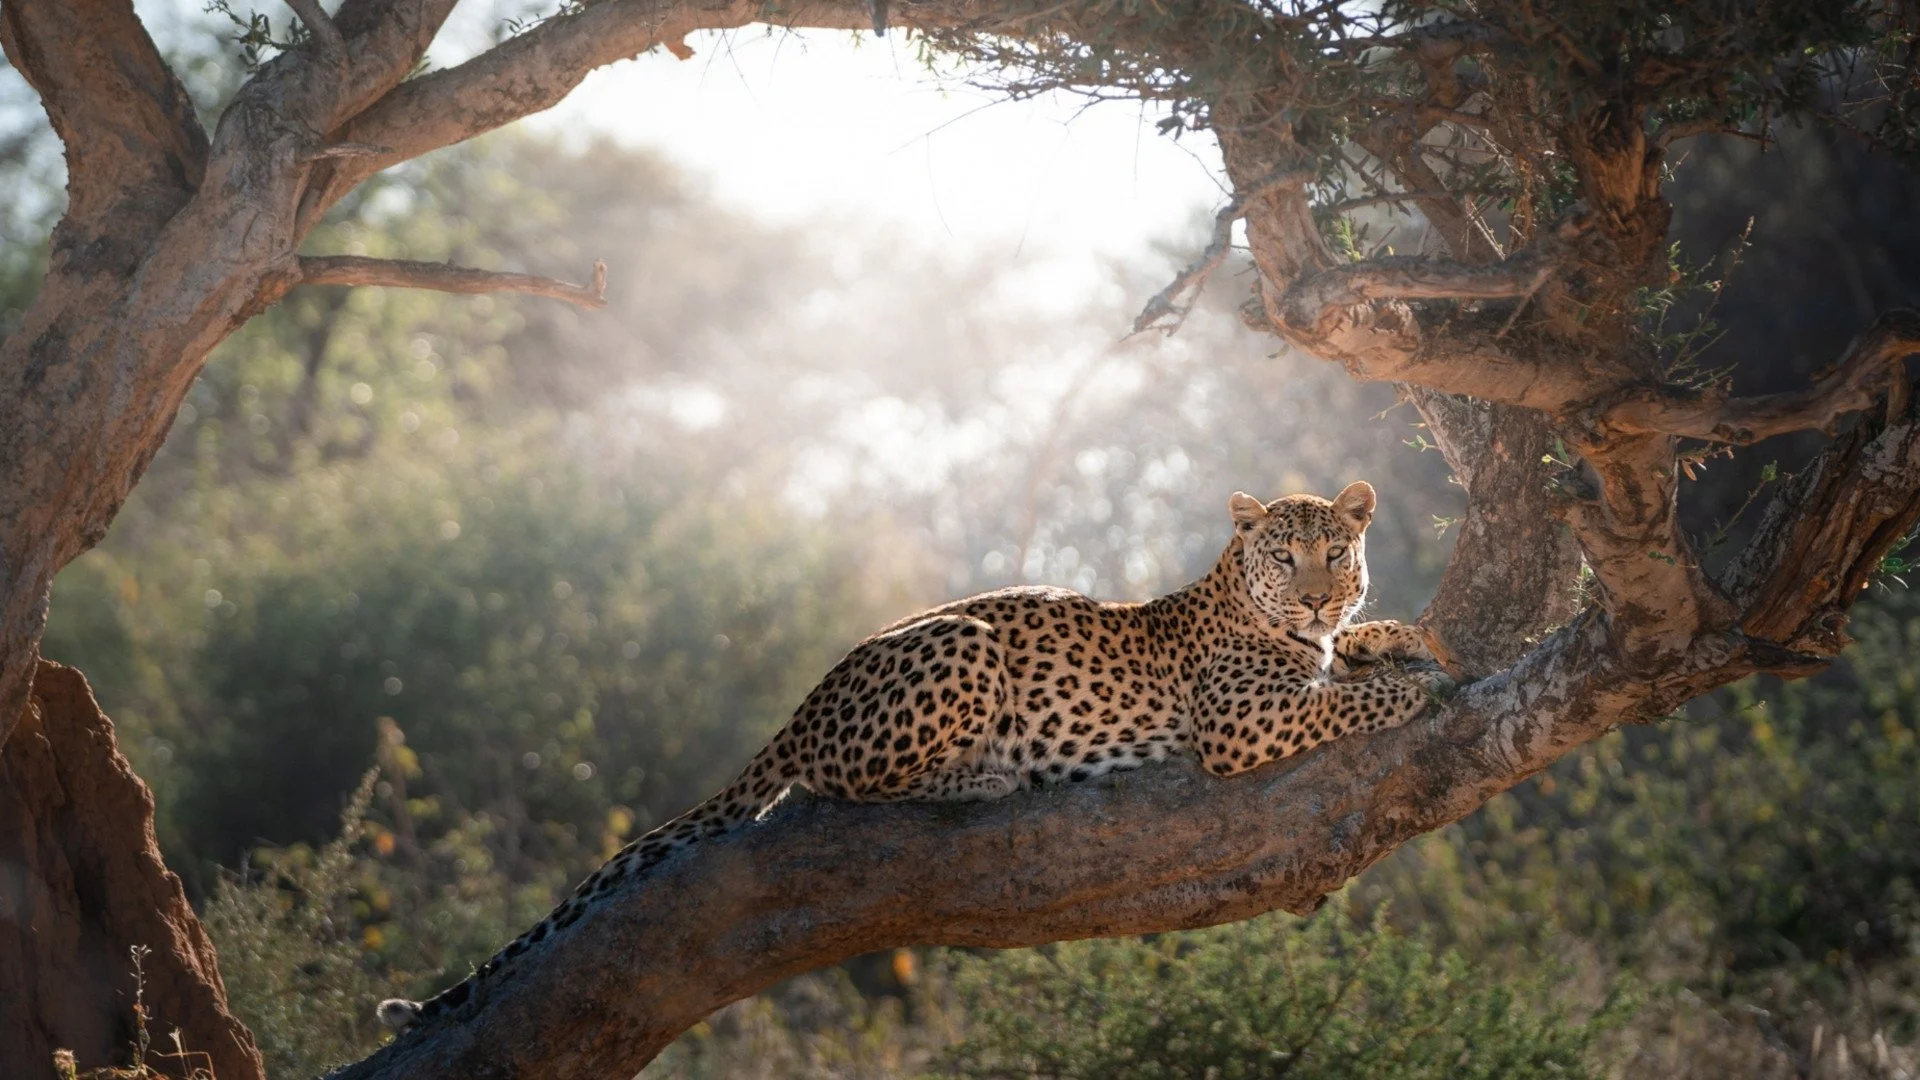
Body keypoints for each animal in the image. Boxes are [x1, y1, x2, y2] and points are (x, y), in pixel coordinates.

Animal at [376, 480, 1451, 1031]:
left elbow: (1354, 656)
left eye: (1337, 553)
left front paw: (1402, 634)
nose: (1318, 595)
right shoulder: (1239, 721)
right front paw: (1414, 685)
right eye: (1285, 555)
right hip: (962, 644)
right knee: (844, 782)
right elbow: (1342, 699)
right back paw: (991, 770)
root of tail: (808, 698)